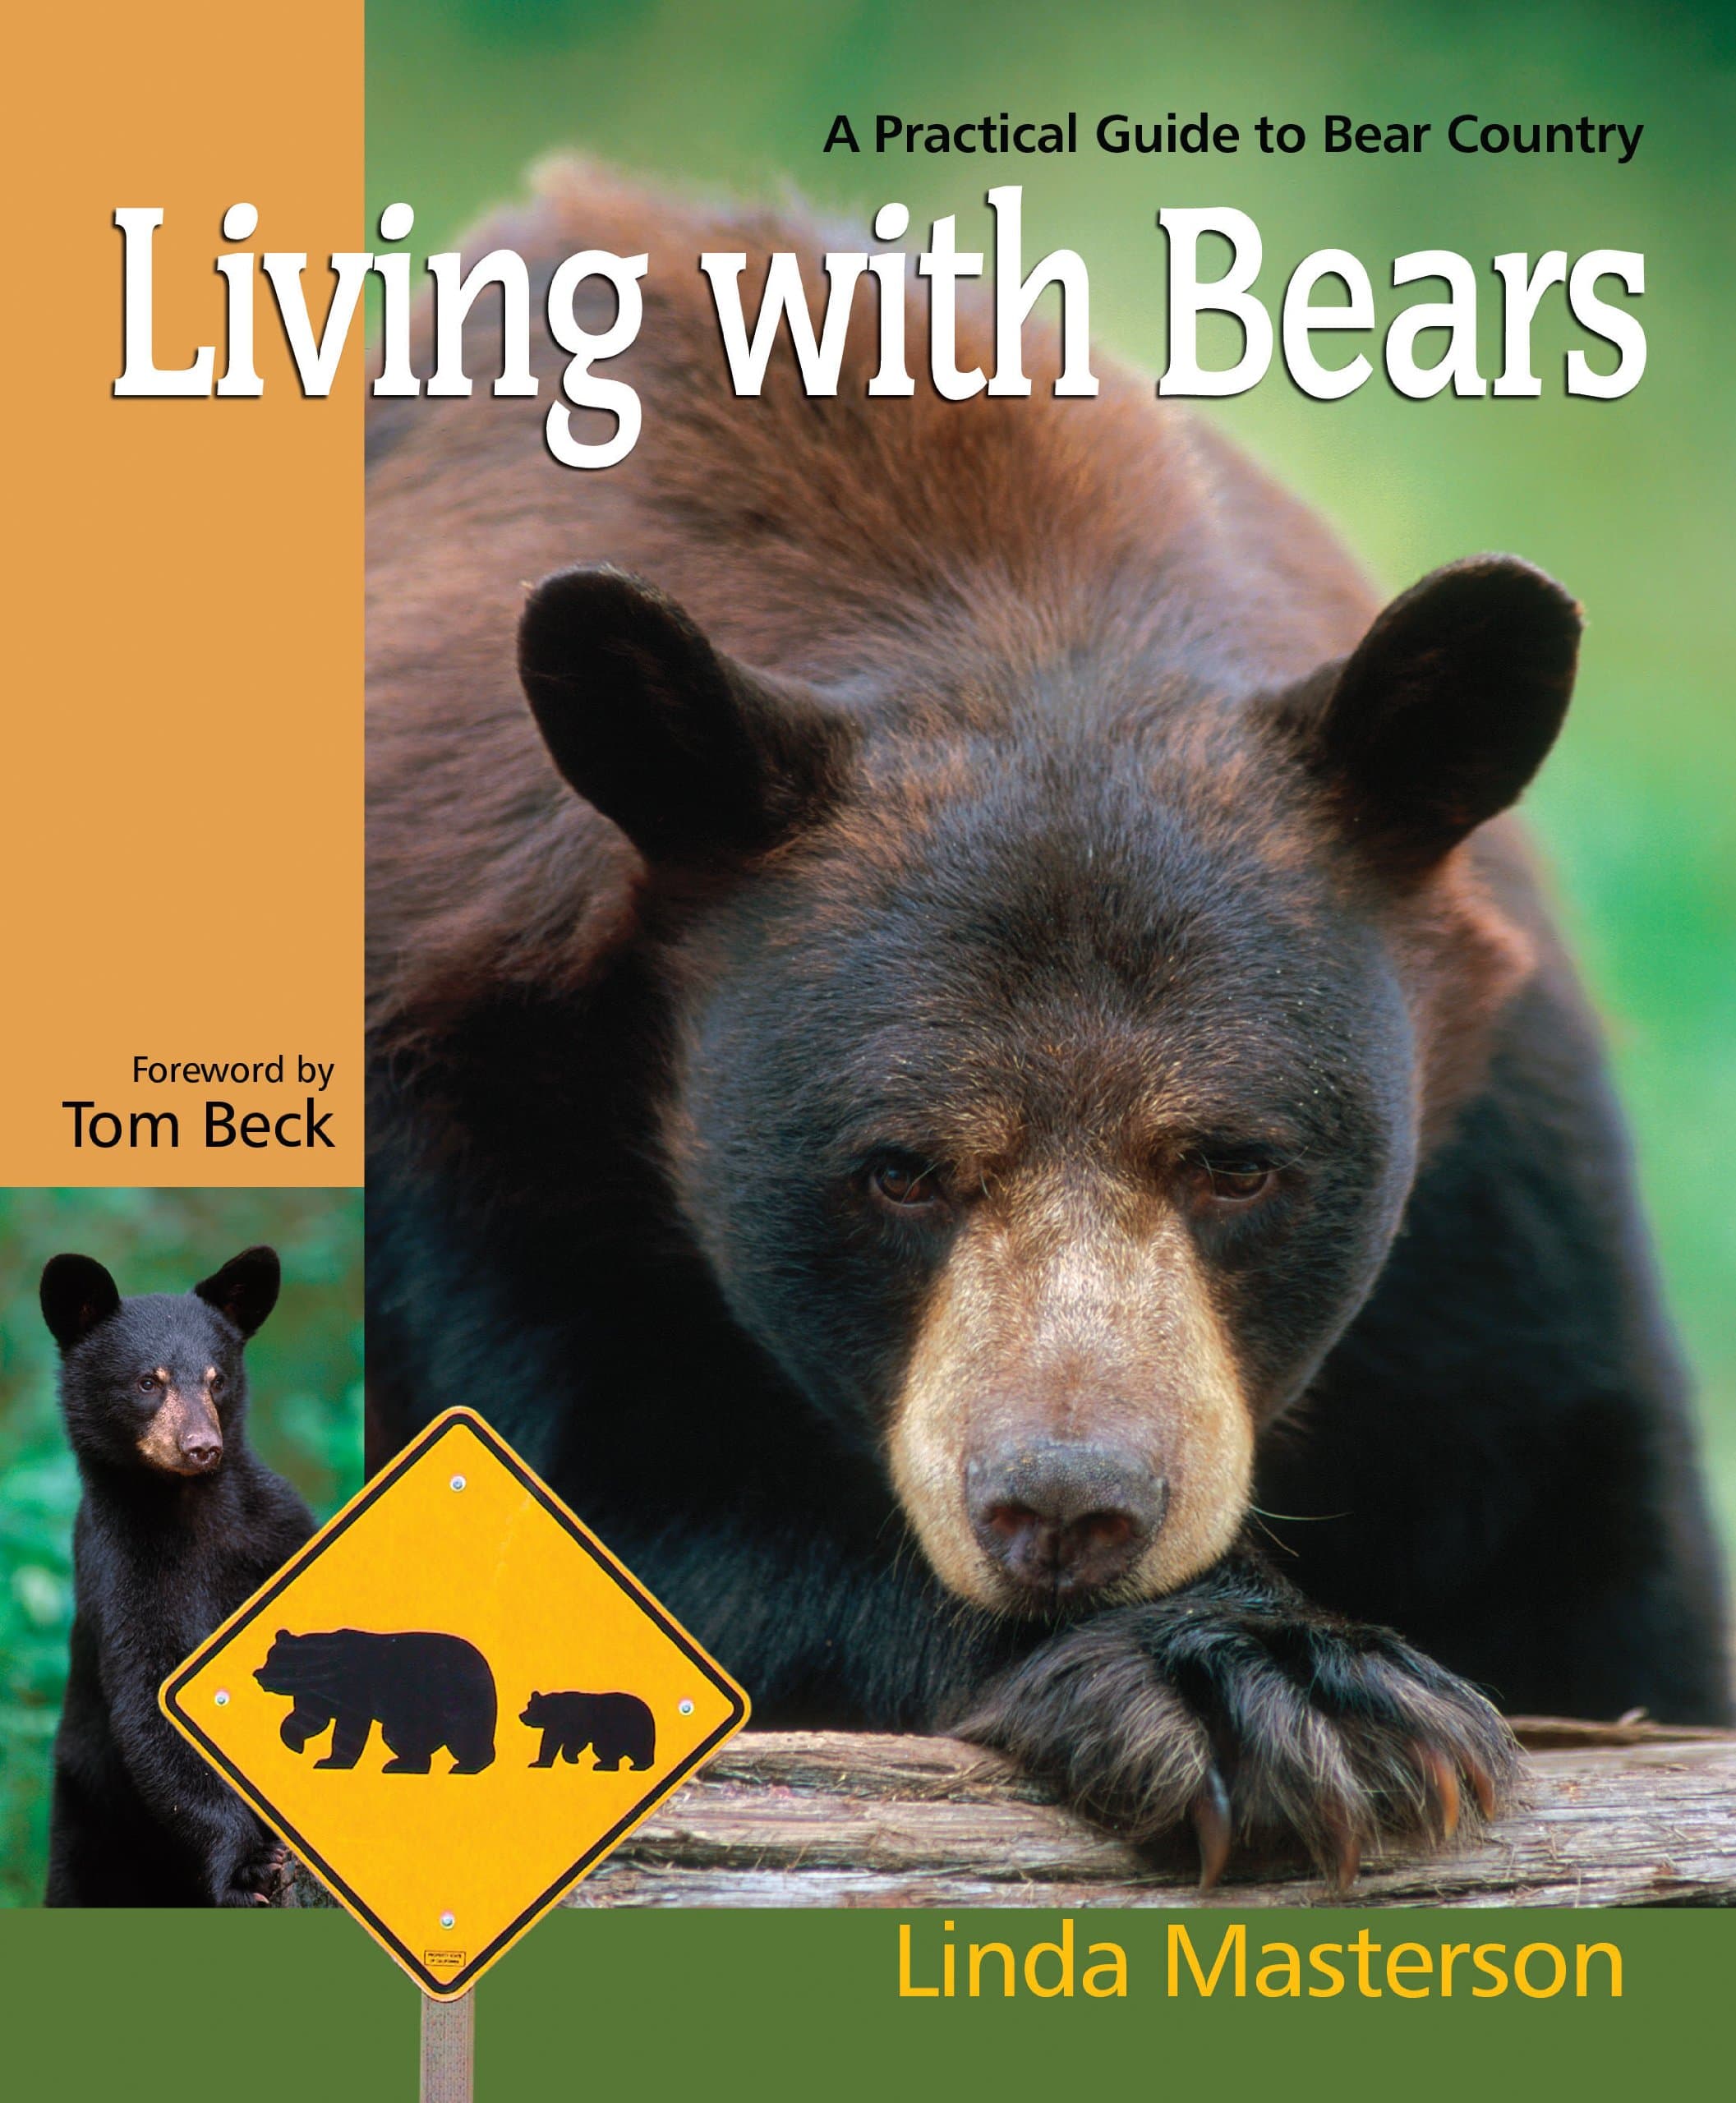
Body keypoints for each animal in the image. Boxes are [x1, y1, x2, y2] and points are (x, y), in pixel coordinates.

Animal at [41, 1246, 315, 1906]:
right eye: (148, 1381)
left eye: (217, 1379)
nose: (201, 1447)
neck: (190, 1509)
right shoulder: (124, 1568)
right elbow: (153, 1701)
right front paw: (247, 1867)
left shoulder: (277, 1531)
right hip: (90, 1825)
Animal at [255, 1629, 498, 1774]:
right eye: (269, 1656)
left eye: (278, 1661)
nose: (259, 1674)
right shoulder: (316, 1696)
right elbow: (309, 1720)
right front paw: (296, 1744)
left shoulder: (354, 1691)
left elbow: (349, 1727)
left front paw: (333, 1761)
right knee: (404, 1737)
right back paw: (402, 1764)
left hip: (450, 1698)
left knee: (462, 1735)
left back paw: (466, 1765)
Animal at [520, 1690, 656, 1771]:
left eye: (529, 1706)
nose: (521, 1716)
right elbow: (573, 1744)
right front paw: (572, 1759)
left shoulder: (562, 1723)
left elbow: (551, 1742)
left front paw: (538, 1763)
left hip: (620, 1729)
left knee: (607, 1749)